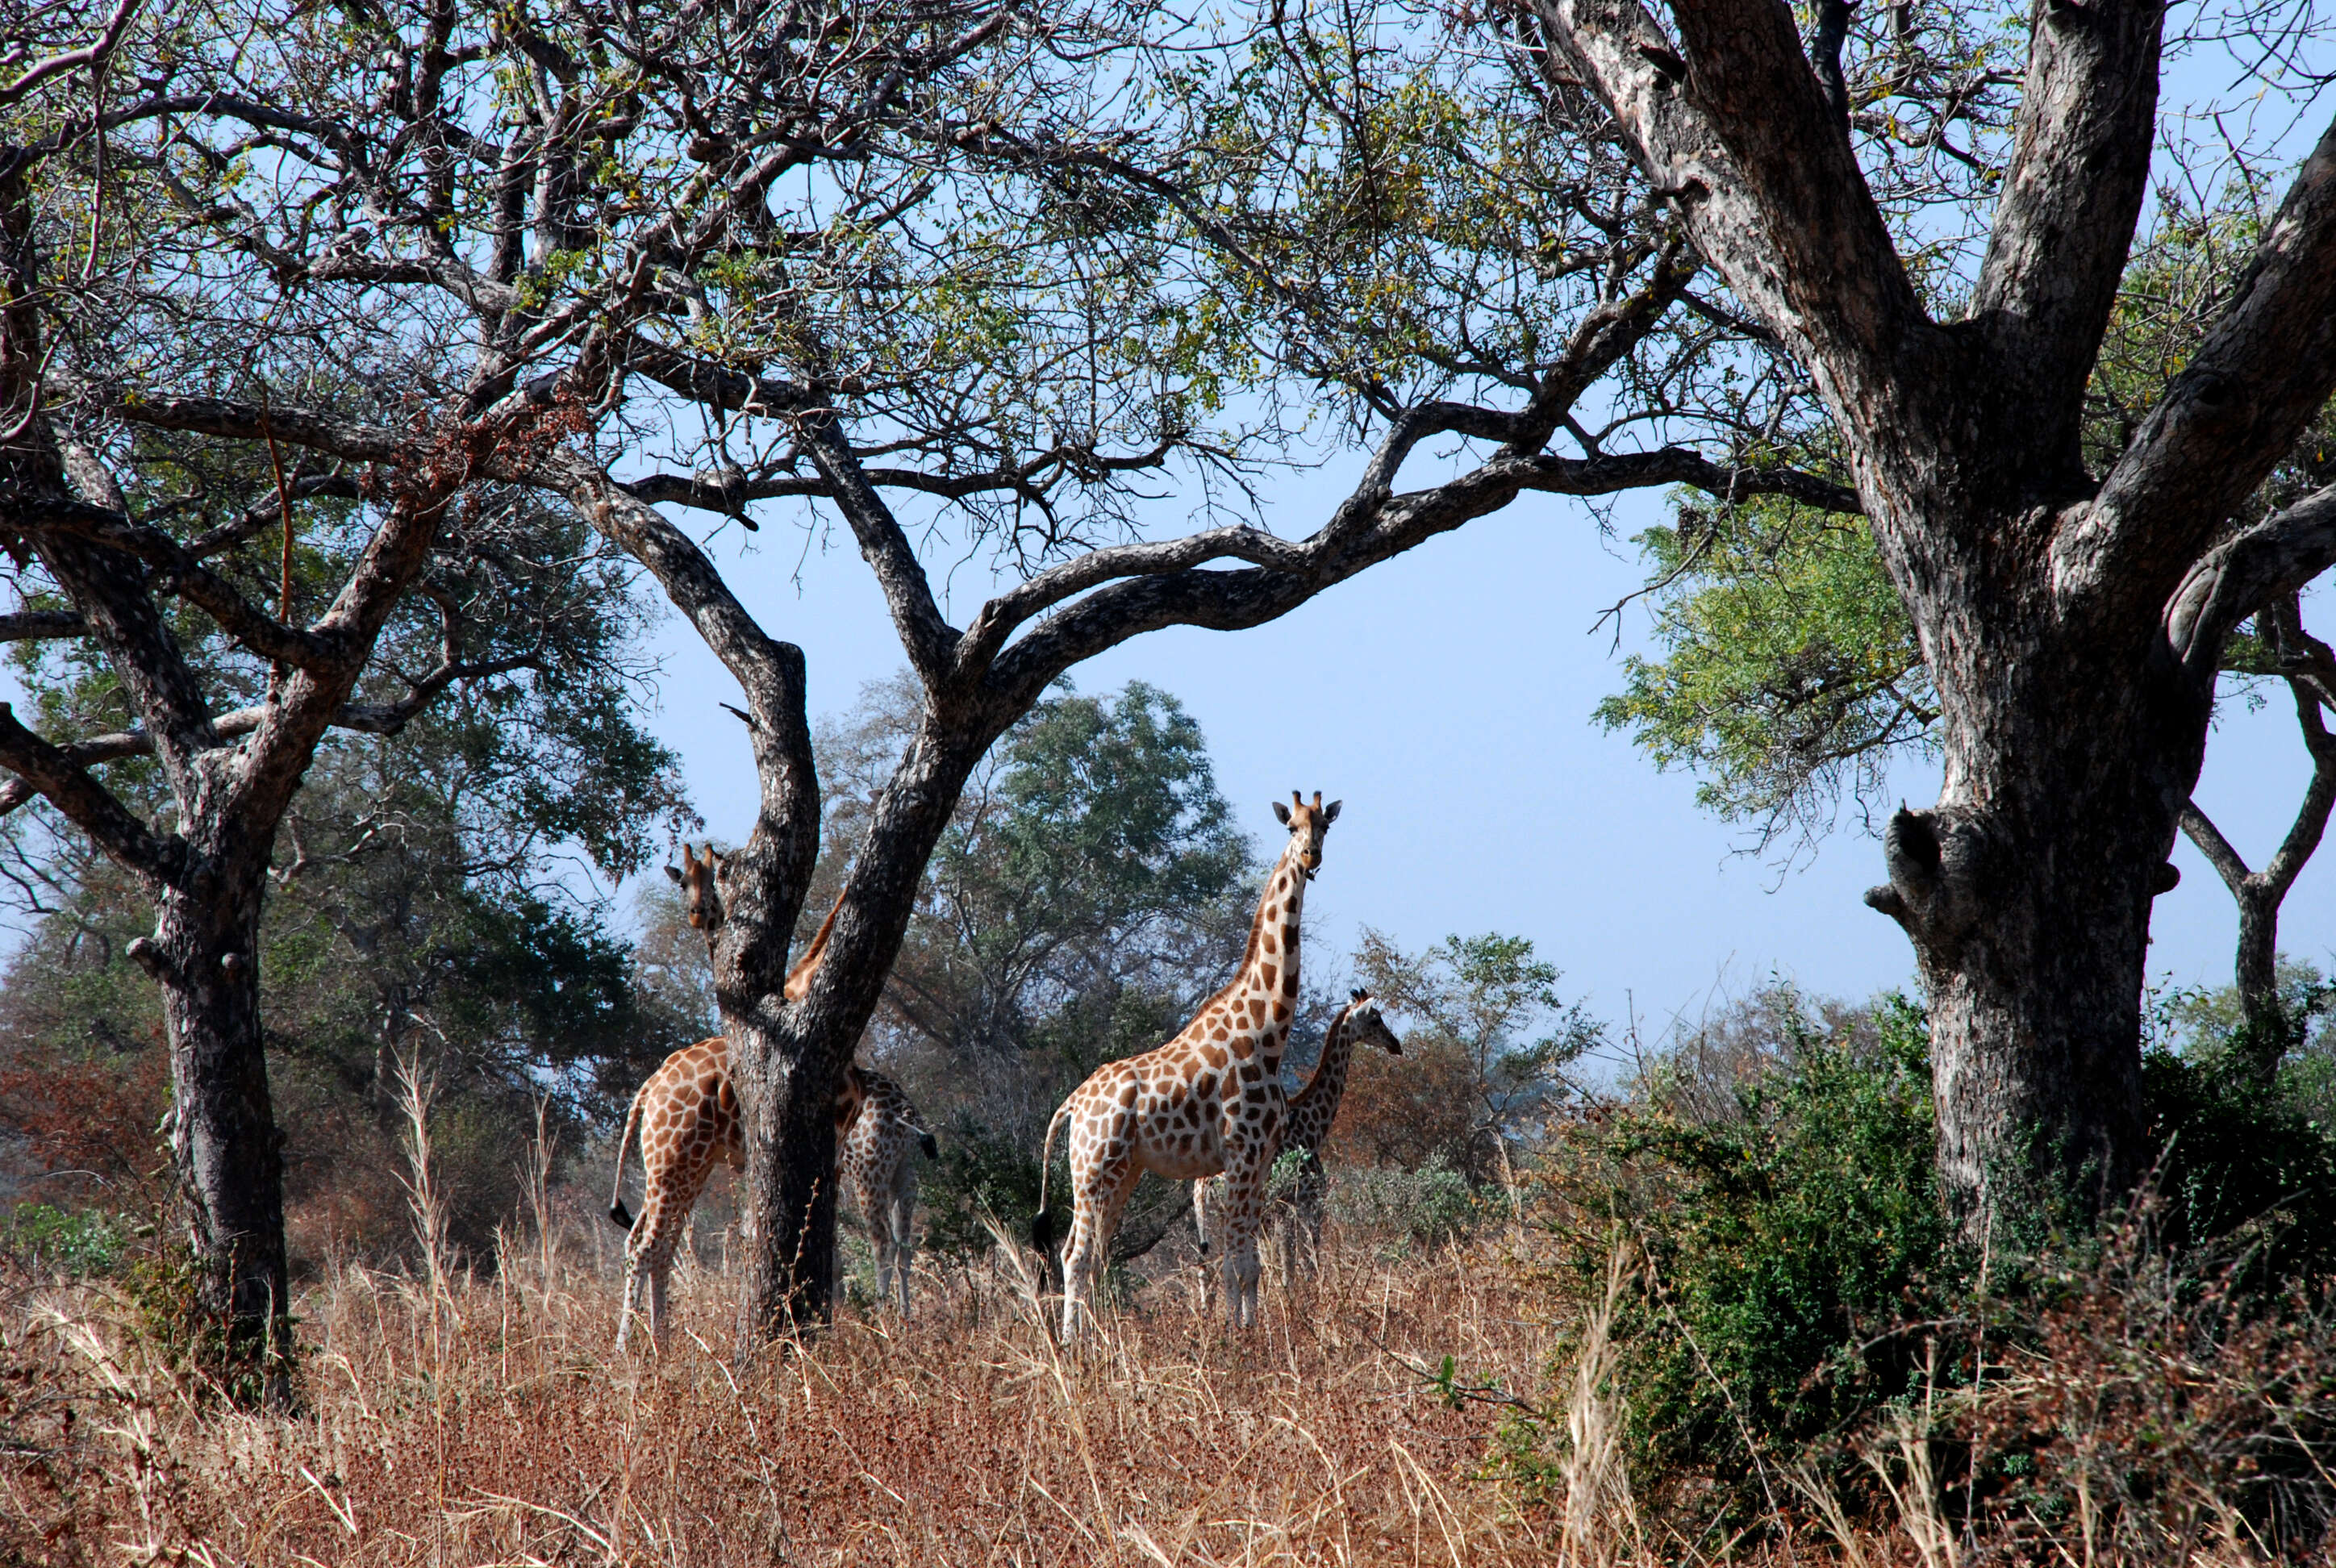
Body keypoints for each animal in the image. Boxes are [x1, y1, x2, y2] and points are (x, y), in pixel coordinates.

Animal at [1037, 790, 1345, 1345]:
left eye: (1324, 827)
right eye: (1290, 826)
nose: (1311, 858)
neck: (1269, 1034)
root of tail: (1071, 1104)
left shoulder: (1261, 1161)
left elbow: (1250, 1263)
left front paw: (1247, 1334)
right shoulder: (1241, 1155)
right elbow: (1238, 1262)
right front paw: (1243, 1340)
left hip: (1122, 1172)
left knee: (1089, 1252)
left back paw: (1098, 1342)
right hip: (1089, 1170)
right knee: (1076, 1255)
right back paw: (1073, 1346)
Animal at [1195, 995, 1392, 1290]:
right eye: (1375, 1018)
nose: (1395, 1044)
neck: (1314, 1129)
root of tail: (1204, 1184)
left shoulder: (1285, 1210)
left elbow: (1290, 1259)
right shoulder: (1306, 1203)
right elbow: (1303, 1259)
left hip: (1206, 1219)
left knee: (1206, 1272)